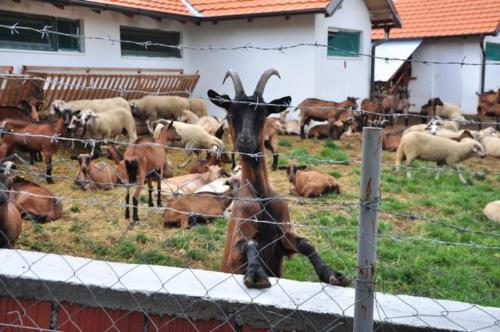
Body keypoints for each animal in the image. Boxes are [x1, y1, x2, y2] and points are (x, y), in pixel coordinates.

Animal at [207, 69, 348, 288]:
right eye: (230, 112)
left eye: (263, 113)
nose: (245, 142)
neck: (260, 194)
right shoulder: (235, 248)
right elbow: (249, 243)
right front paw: (256, 273)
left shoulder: (282, 236)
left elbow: (305, 243)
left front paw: (331, 273)